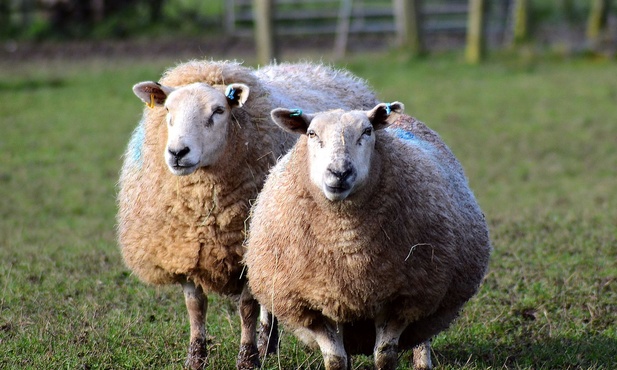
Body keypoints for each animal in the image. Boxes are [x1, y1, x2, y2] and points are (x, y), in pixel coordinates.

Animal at [115, 58, 376, 370]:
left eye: (218, 111)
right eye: (167, 110)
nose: (178, 153)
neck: (203, 211)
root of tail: (315, 67)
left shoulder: (245, 246)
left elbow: (247, 307)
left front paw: (248, 358)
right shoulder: (183, 248)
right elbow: (195, 306)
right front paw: (196, 357)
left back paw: (265, 344)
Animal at [244, 102, 490, 370]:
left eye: (367, 131)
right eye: (311, 133)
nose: (339, 172)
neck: (348, 245)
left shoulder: (402, 299)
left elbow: (384, 355)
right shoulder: (313, 304)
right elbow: (335, 360)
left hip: (427, 288)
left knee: (421, 337)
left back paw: (422, 362)